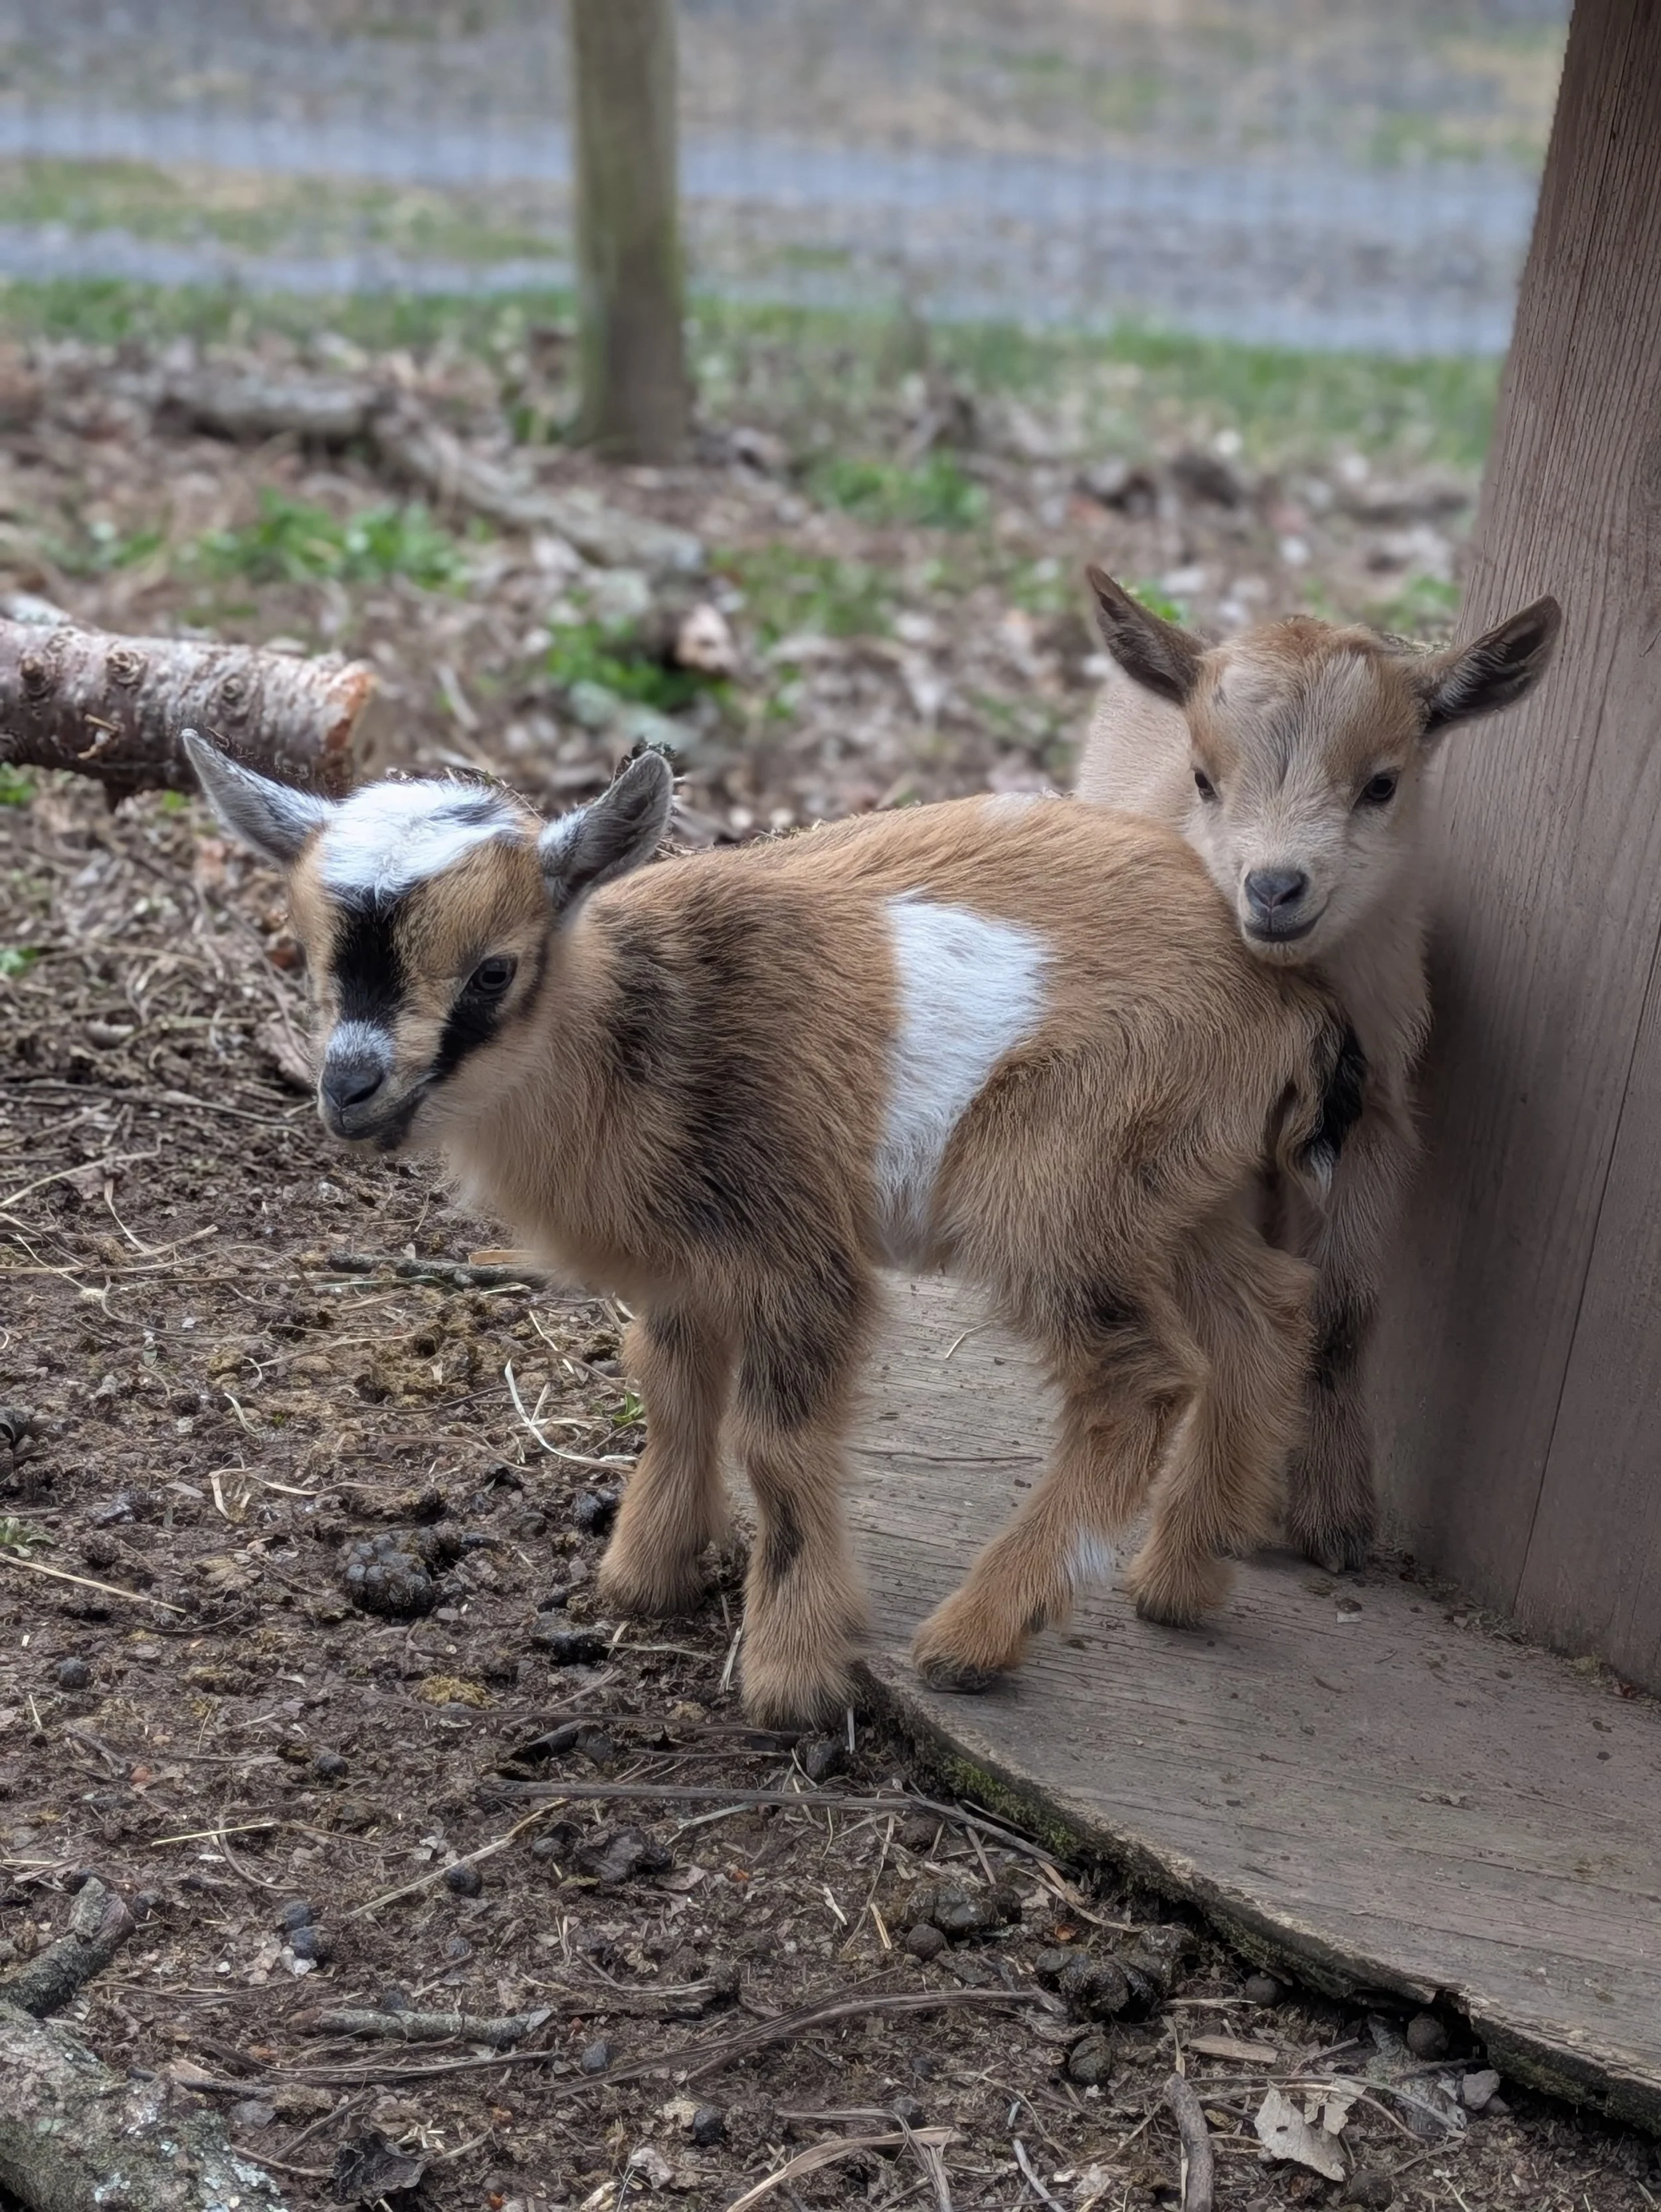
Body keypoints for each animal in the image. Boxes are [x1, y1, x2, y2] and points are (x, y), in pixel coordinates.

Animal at [187, 731, 1363, 1725]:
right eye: (312, 954)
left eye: (493, 969)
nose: (350, 1090)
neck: (640, 1031)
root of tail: (1281, 997)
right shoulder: (687, 1266)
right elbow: (670, 1390)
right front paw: (645, 1574)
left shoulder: (799, 1248)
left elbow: (777, 1441)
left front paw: (791, 1671)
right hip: (1185, 1186)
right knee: (1267, 1314)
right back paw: (1183, 1574)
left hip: (1057, 1186)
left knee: (1142, 1377)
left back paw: (976, 1639)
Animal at [1075, 570, 1561, 1572]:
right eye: (1204, 779)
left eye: (1382, 782)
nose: (1274, 888)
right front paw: (1227, 1497)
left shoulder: (1374, 1120)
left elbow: (1338, 1314)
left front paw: (1333, 1516)